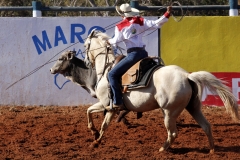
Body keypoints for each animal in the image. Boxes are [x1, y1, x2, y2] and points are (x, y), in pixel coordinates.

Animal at [82, 30, 238, 154]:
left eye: (85, 46)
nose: (86, 63)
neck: (106, 70)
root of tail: (186, 76)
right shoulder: (108, 107)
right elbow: (94, 116)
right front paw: (95, 136)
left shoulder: (107, 106)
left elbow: (98, 120)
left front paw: (95, 139)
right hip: (193, 107)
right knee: (206, 126)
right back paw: (212, 150)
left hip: (169, 112)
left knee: (173, 133)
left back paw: (163, 149)